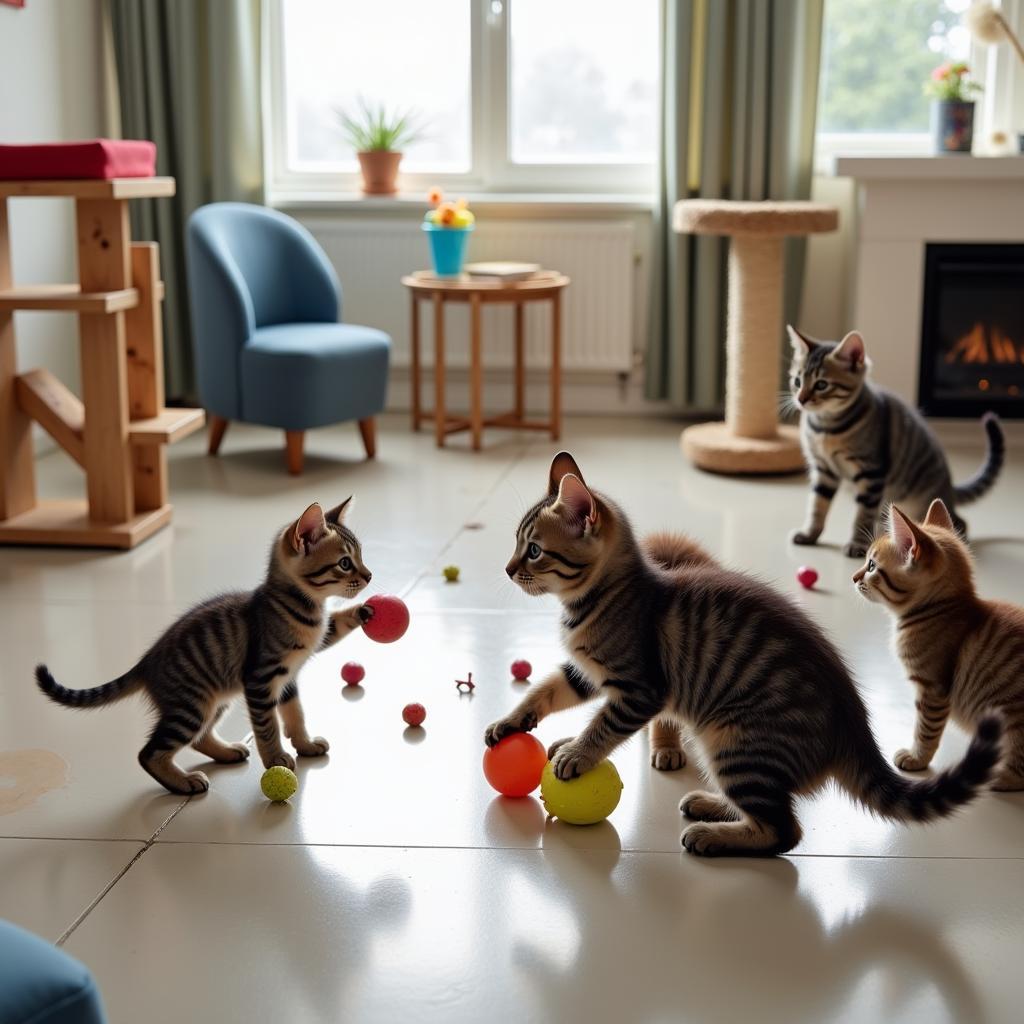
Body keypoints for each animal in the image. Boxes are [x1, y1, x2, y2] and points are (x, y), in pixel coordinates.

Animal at [36, 499, 372, 794]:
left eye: (361, 557)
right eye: (345, 563)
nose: (369, 576)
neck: (306, 609)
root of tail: (146, 662)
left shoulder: (290, 675)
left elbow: (295, 713)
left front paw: (305, 744)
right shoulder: (260, 679)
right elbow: (267, 726)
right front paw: (275, 759)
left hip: (215, 698)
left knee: (198, 738)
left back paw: (226, 753)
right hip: (190, 705)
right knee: (149, 753)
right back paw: (183, 783)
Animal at [483, 450, 1003, 856]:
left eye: (533, 551)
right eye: (516, 545)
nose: (506, 569)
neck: (592, 602)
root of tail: (853, 728)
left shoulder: (638, 689)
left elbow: (602, 726)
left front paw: (577, 753)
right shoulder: (586, 672)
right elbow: (545, 690)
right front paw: (510, 722)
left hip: (734, 741)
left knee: (784, 830)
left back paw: (713, 835)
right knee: (772, 812)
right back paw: (712, 805)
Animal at [782, 325, 999, 561]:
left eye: (821, 385)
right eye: (797, 382)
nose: (801, 399)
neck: (824, 427)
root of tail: (949, 486)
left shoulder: (871, 472)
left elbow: (862, 514)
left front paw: (856, 543)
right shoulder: (823, 470)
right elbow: (817, 505)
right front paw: (809, 534)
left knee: (958, 522)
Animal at [856, 499, 1024, 794]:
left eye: (872, 566)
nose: (854, 577)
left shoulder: (932, 689)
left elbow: (925, 731)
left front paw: (916, 758)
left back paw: (997, 775)